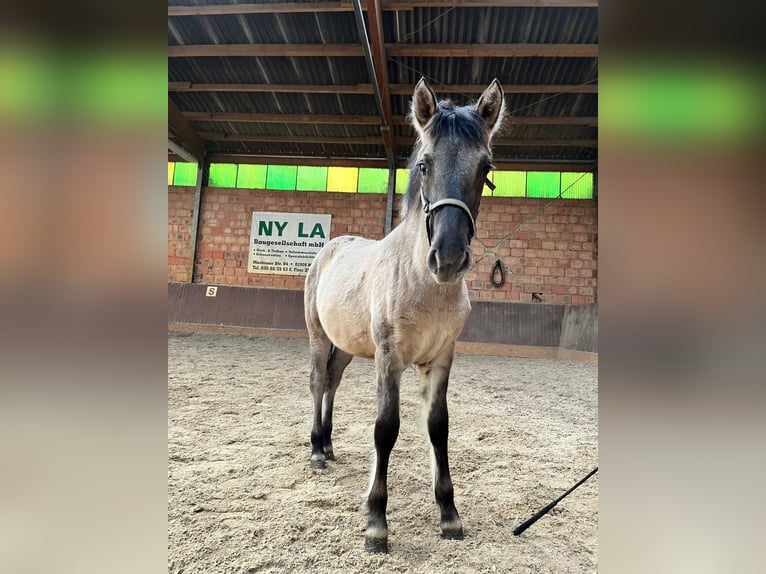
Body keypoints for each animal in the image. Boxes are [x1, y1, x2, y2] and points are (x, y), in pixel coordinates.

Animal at [304, 79, 508, 556]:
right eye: (424, 164)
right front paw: (376, 523)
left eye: (485, 168)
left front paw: (449, 514)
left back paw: (331, 444)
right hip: (319, 336)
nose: (448, 258)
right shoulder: (389, 358)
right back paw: (318, 450)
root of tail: (329, 248)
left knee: (333, 381)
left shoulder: (441, 359)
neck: (423, 283)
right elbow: (386, 429)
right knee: (319, 381)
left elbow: (438, 427)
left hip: (346, 346)